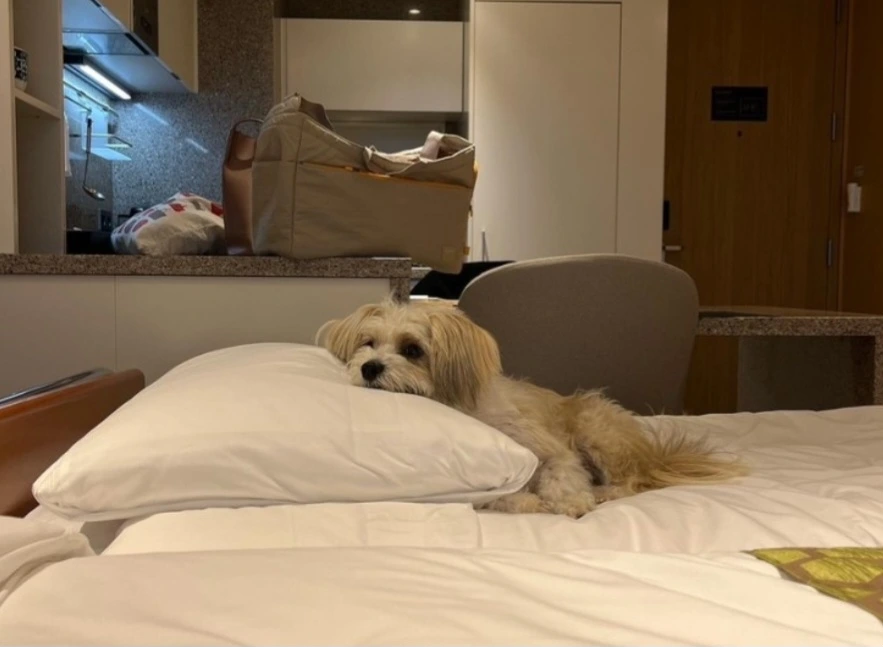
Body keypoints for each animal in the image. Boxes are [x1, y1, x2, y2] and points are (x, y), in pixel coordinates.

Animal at [317, 299, 746, 517]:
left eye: (412, 349)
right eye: (368, 343)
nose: (370, 368)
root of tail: (656, 455)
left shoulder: (552, 450)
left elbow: (562, 477)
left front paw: (570, 502)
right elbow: (500, 495)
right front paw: (527, 500)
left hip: (595, 427)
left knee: (632, 481)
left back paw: (605, 492)